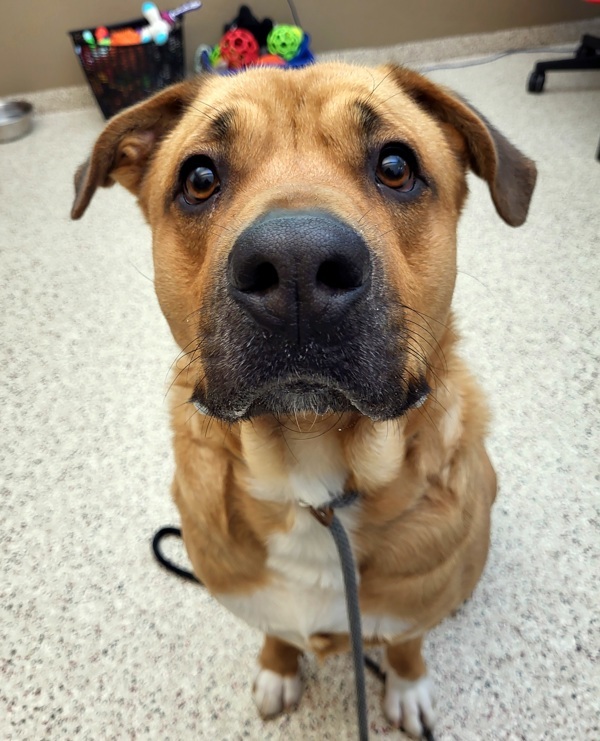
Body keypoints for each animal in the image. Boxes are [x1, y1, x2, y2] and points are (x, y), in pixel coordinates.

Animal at [72, 62, 536, 736]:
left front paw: (407, 687)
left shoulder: (408, 611)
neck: (313, 486)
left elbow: (406, 644)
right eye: (200, 178)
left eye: (396, 166)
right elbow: (279, 634)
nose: (296, 262)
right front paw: (277, 668)